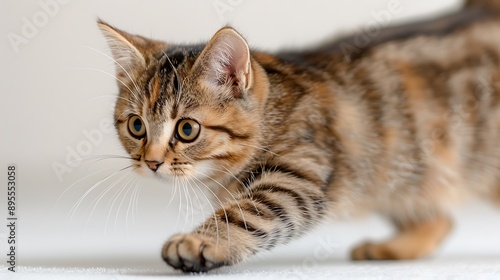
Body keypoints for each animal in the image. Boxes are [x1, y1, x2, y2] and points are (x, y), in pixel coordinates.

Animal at [97, 0, 500, 272]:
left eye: (187, 129)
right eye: (136, 126)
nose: (151, 162)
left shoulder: (297, 176)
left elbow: (246, 214)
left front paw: (200, 241)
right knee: (439, 219)